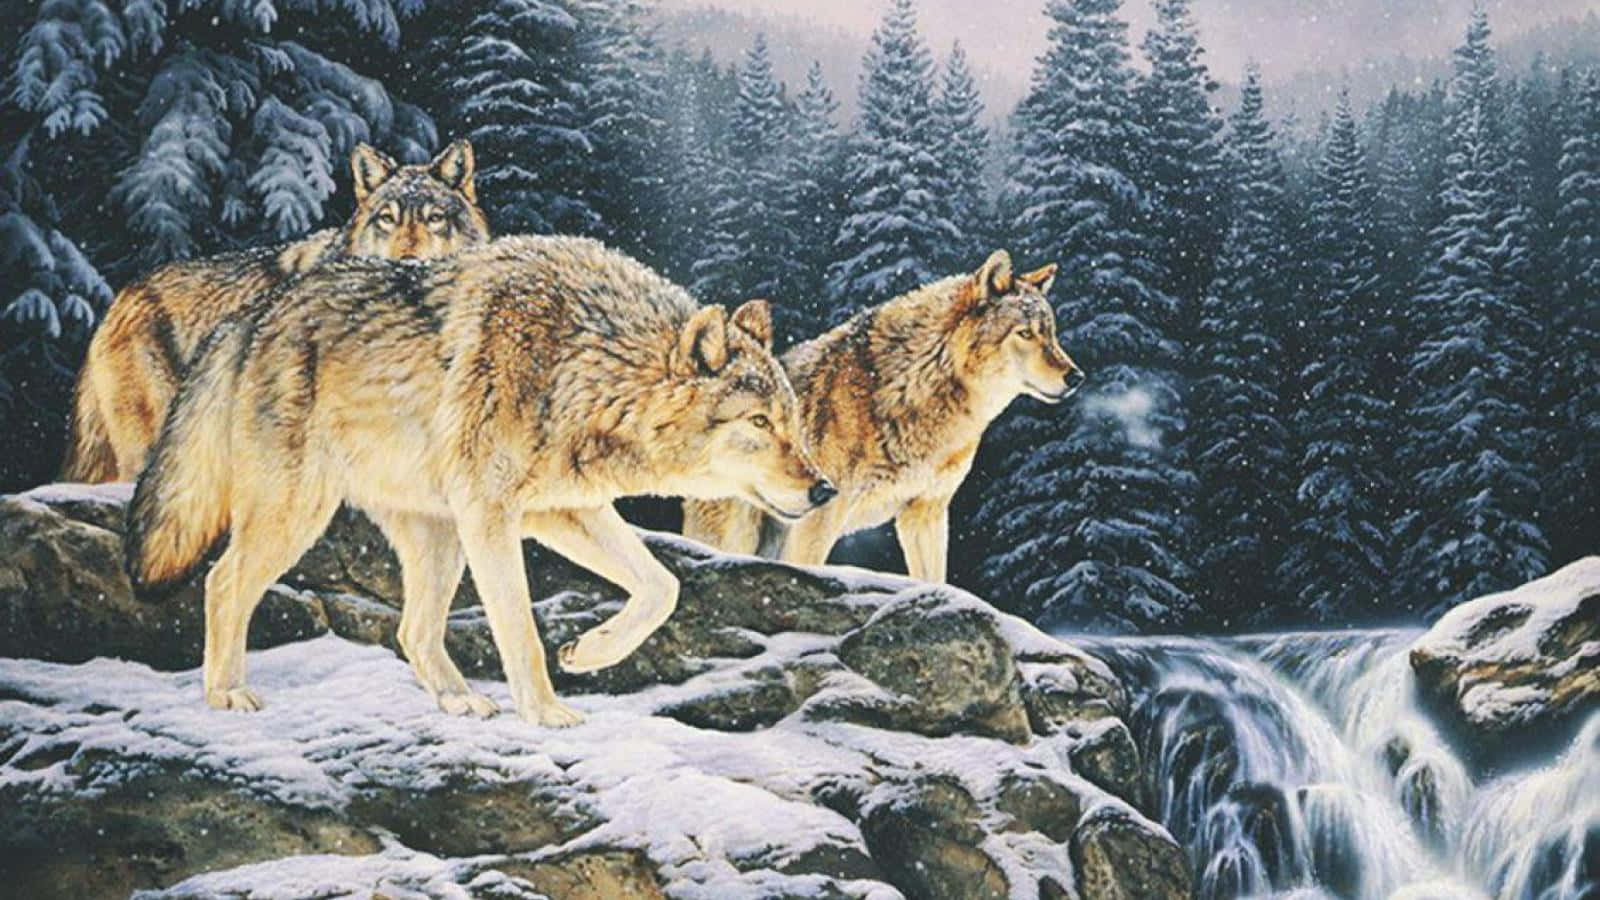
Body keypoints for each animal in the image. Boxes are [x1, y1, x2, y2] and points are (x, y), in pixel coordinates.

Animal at [126, 235, 834, 727]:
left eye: (794, 421)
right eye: (759, 421)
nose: (824, 489)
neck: (577, 367)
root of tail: (251, 316)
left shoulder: (561, 510)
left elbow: (662, 587)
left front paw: (589, 652)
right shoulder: (491, 513)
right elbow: (519, 627)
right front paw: (546, 712)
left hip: (436, 538)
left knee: (412, 632)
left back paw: (460, 701)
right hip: (300, 515)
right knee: (222, 582)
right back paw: (226, 692)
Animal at [683, 249, 1082, 583]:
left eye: (1052, 334)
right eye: (1025, 333)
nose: (1076, 377)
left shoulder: (926, 513)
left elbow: (933, 582)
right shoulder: (820, 518)